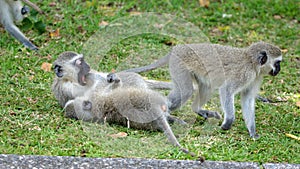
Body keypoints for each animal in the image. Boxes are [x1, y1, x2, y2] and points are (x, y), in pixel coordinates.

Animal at [123, 41, 282, 138]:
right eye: (277, 63)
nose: (279, 70)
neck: (252, 62)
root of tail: (177, 48)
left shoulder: (255, 78)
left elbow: (248, 99)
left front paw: (252, 132)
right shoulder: (244, 74)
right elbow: (226, 90)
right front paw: (228, 123)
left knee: (206, 86)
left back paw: (197, 109)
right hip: (178, 66)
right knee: (186, 90)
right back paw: (166, 116)